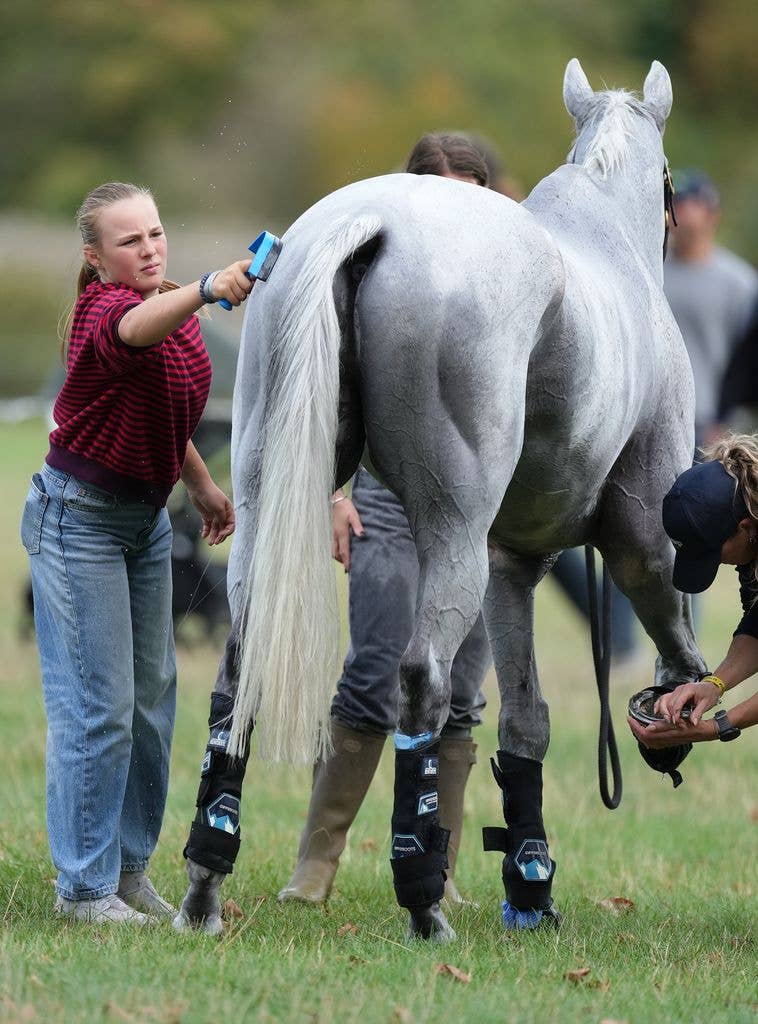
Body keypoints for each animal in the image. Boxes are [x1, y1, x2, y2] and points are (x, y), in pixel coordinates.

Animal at [174, 59, 705, 939]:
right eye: (667, 182)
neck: (605, 242)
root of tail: (367, 223)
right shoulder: (636, 540)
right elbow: (665, 609)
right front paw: (681, 705)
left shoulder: (513, 562)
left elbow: (526, 723)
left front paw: (531, 886)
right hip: (453, 538)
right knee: (420, 680)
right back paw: (423, 899)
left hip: (263, 506)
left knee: (237, 672)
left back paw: (205, 885)